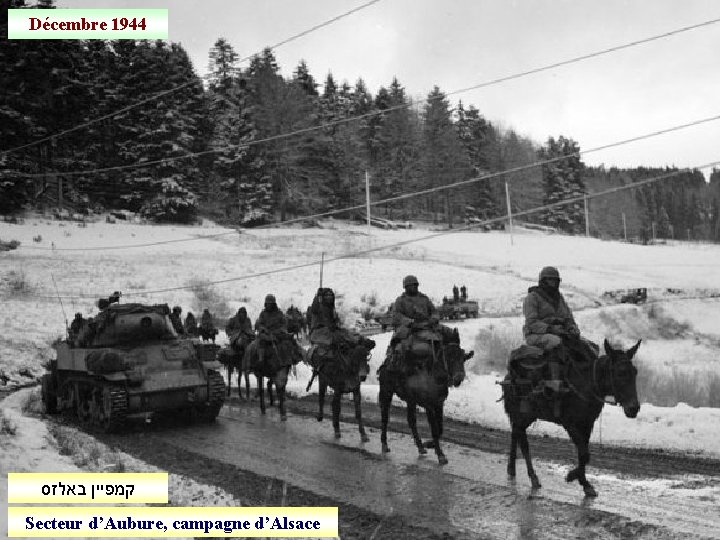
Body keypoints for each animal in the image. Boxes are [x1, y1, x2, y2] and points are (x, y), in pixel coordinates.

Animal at [379, 326, 474, 465]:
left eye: (463, 358)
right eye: (449, 356)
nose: (458, 378)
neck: (435, 378)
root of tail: (386, 362)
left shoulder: (439, 403)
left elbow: (440, 428)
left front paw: (430, 444)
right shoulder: (429, 405)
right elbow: (434, 429)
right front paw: (440, 455)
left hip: (411, 400)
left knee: (411, 421)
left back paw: (420, 446)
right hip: (386, 391)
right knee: (385, 418)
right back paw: (384, 444)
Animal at [502, 338, 641, 497]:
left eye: (635, 372)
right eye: (620, 372)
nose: (634, 408)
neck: (587, 386)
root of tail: (507, 377)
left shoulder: (587, 423)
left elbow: (584, 454)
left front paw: (584, 482)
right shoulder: (570, 424)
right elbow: (584, 453)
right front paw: (573, 476)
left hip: (522, 417)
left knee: (515, 434)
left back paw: (511, 469)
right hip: (523, 415)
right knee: (523, 443)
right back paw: (533, 477)